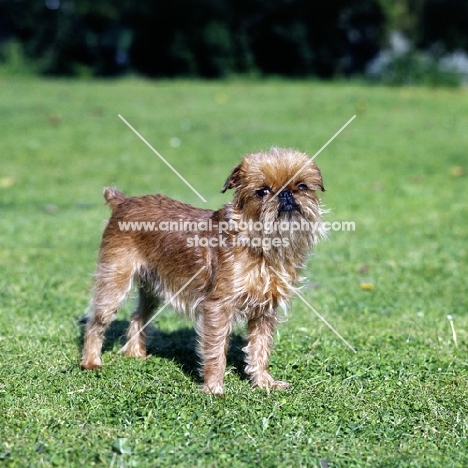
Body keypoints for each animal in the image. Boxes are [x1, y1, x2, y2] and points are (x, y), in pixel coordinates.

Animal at [80, 147, 326, 394]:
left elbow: (260, 348)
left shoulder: (264, 312)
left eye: (302, 186)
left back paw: (136, 353)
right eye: (262, 191)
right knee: (96, 322)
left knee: (138, 315)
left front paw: (264, 382)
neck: (259, 245)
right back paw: (91, 362)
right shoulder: (217, 307)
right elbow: (216, 350)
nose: (286, 195)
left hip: (152, 286)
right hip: (114, 281)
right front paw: (213, 388)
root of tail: (123, 201)